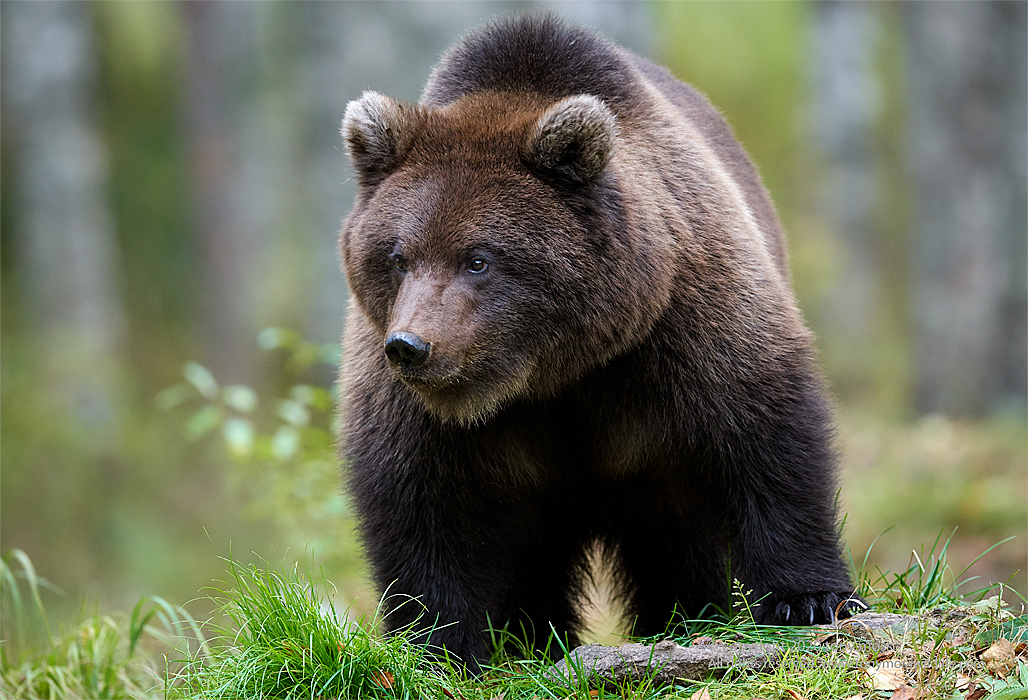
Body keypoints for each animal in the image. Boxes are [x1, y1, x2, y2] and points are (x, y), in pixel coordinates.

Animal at [338, 14, 860, 673]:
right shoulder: (421, 406)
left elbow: (762, 434)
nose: (411, 346)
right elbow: (421, 499)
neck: (552, 372)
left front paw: (810, 598)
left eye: (478, 258)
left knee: (681, 547)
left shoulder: (681, 321)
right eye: (398, 257)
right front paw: (439, 642)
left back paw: (688, 618)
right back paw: (534, 638)